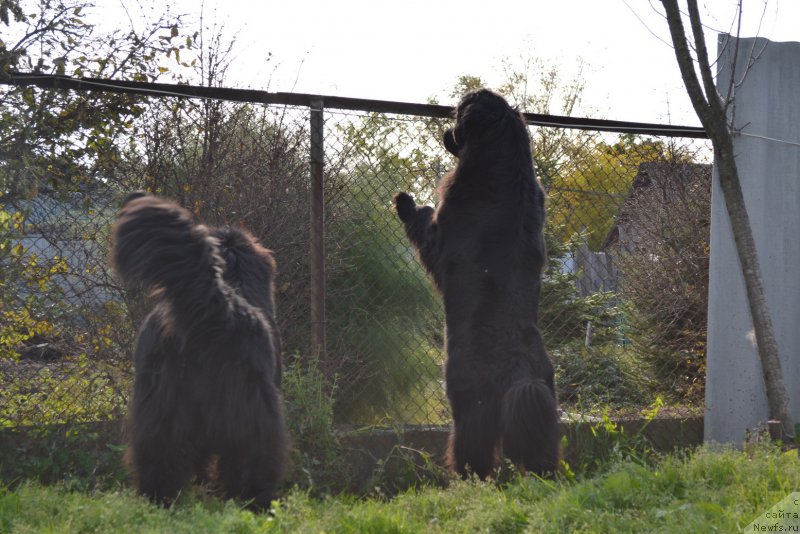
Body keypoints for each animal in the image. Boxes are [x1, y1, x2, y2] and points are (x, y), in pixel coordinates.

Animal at [111, 193, 288, 510]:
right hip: (251, 411)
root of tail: (214, 308)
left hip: (160, 406)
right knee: (252, 460)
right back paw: (256, 502)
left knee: (157, 458)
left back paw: (158, 500)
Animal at [396, 89, 560, 482]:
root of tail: (520, 372)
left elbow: (424, 220)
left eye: (459, 112)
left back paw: (465, 477)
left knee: (473, 446)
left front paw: (405, 201)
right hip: (546, 391)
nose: (448, 117)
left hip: (469, 399)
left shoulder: (439, 237)